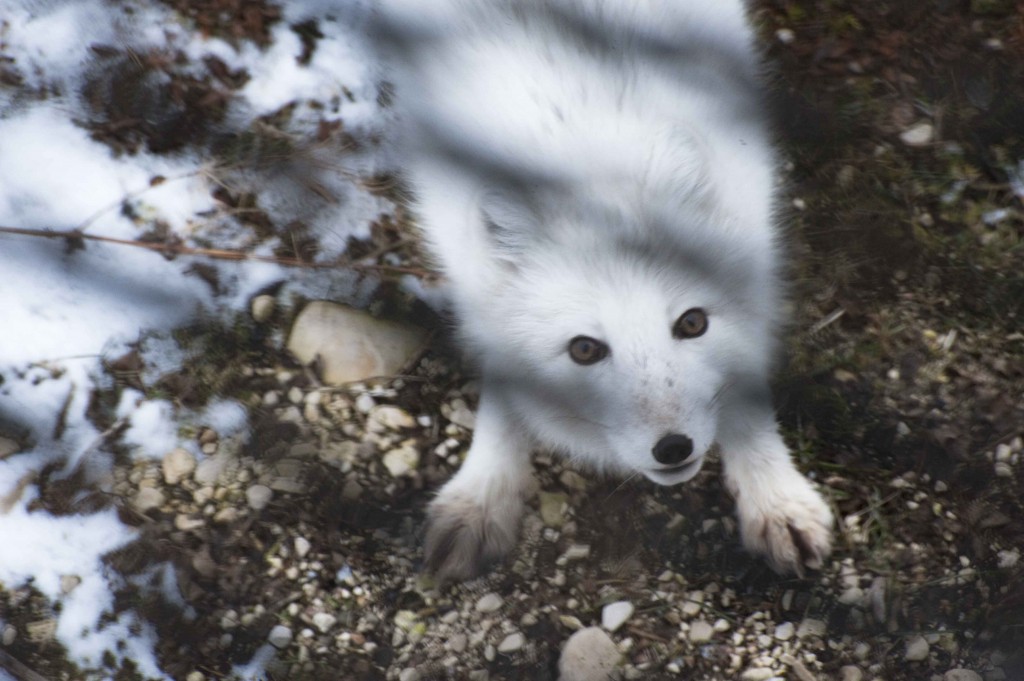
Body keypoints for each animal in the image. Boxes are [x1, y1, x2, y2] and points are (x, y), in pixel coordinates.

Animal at [373, 0, 834, 583]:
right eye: (585, 349)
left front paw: (774, 497)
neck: (585, 165)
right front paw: (481, 499)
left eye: (692, 323)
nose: (674, 448)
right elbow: (501, 391)